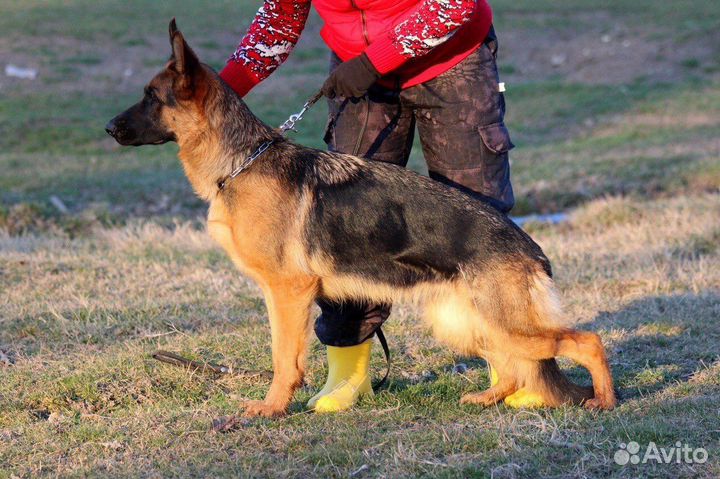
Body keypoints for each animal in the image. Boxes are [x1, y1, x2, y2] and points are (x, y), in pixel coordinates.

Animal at [104, 21, 616, 420]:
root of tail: (530, 249)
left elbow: (284, 359)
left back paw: (604, 402)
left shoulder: (289, 294)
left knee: (586, 341)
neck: (242, 161)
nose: (108, 128)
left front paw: (271, 408)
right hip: (462, 321)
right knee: (511, 366)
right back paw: (490, 397)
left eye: (150, 96)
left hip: (505, 324)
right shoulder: (285, 295)